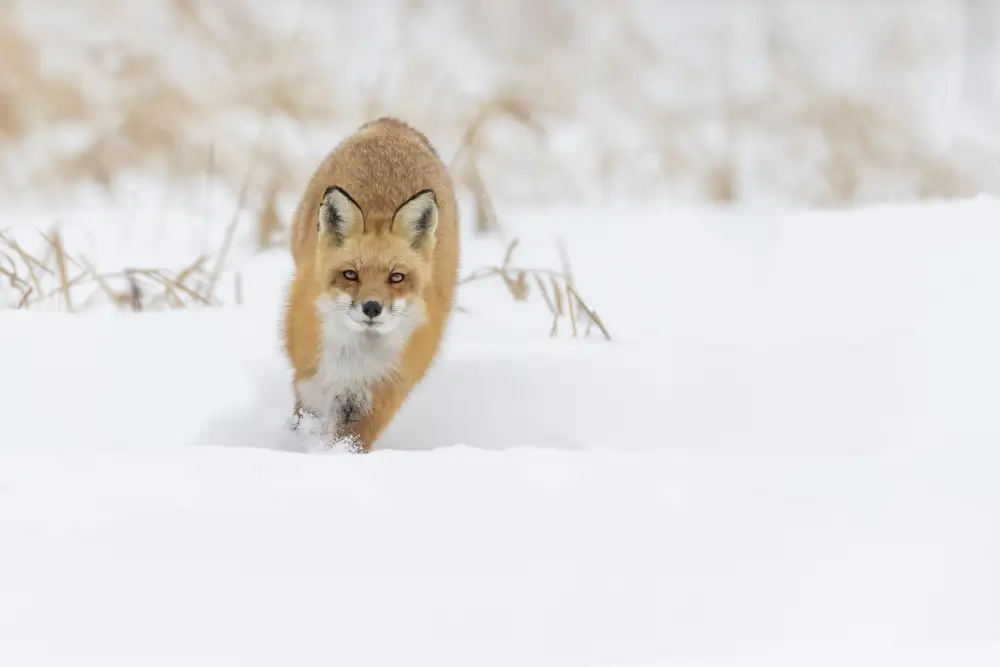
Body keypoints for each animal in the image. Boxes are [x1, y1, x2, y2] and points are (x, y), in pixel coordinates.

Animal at [281, 117, 460, 452]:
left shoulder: (378, 397)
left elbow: (350, 443)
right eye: (351, 275)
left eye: (396, 277)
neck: (356, 358)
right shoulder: (310, 381)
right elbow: (305, 424)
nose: (372, 308)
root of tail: (393, 123)